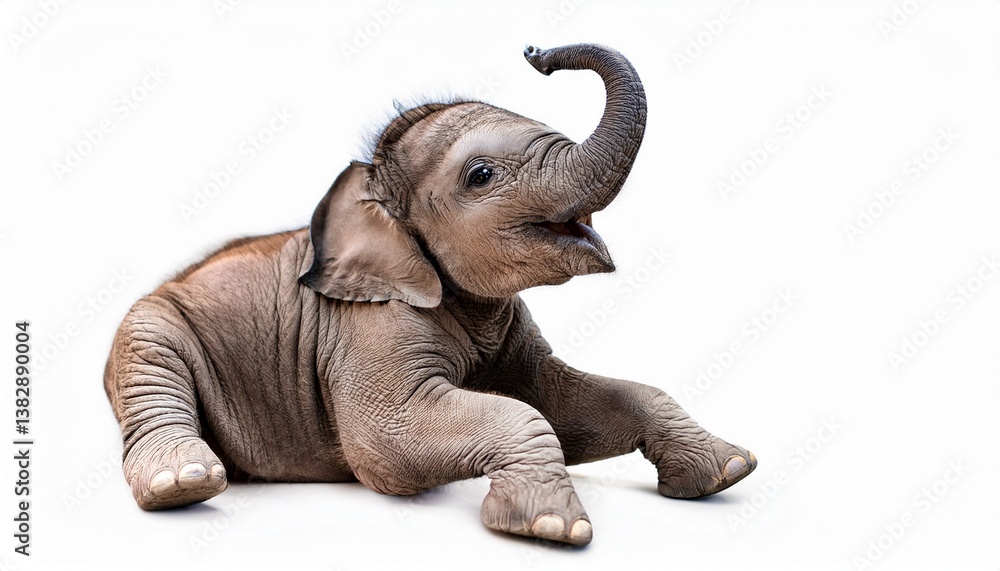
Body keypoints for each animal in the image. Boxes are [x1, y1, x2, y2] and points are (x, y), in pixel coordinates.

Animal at [104, 43, 756, 546]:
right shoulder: (367, 325)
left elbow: (559, 400)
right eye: (481, 176)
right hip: (149, 330)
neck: (370, 187)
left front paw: (729, 471)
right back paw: (182, 484)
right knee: (153, 374)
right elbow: (388, 445)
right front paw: (552, 528)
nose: (535, 53)